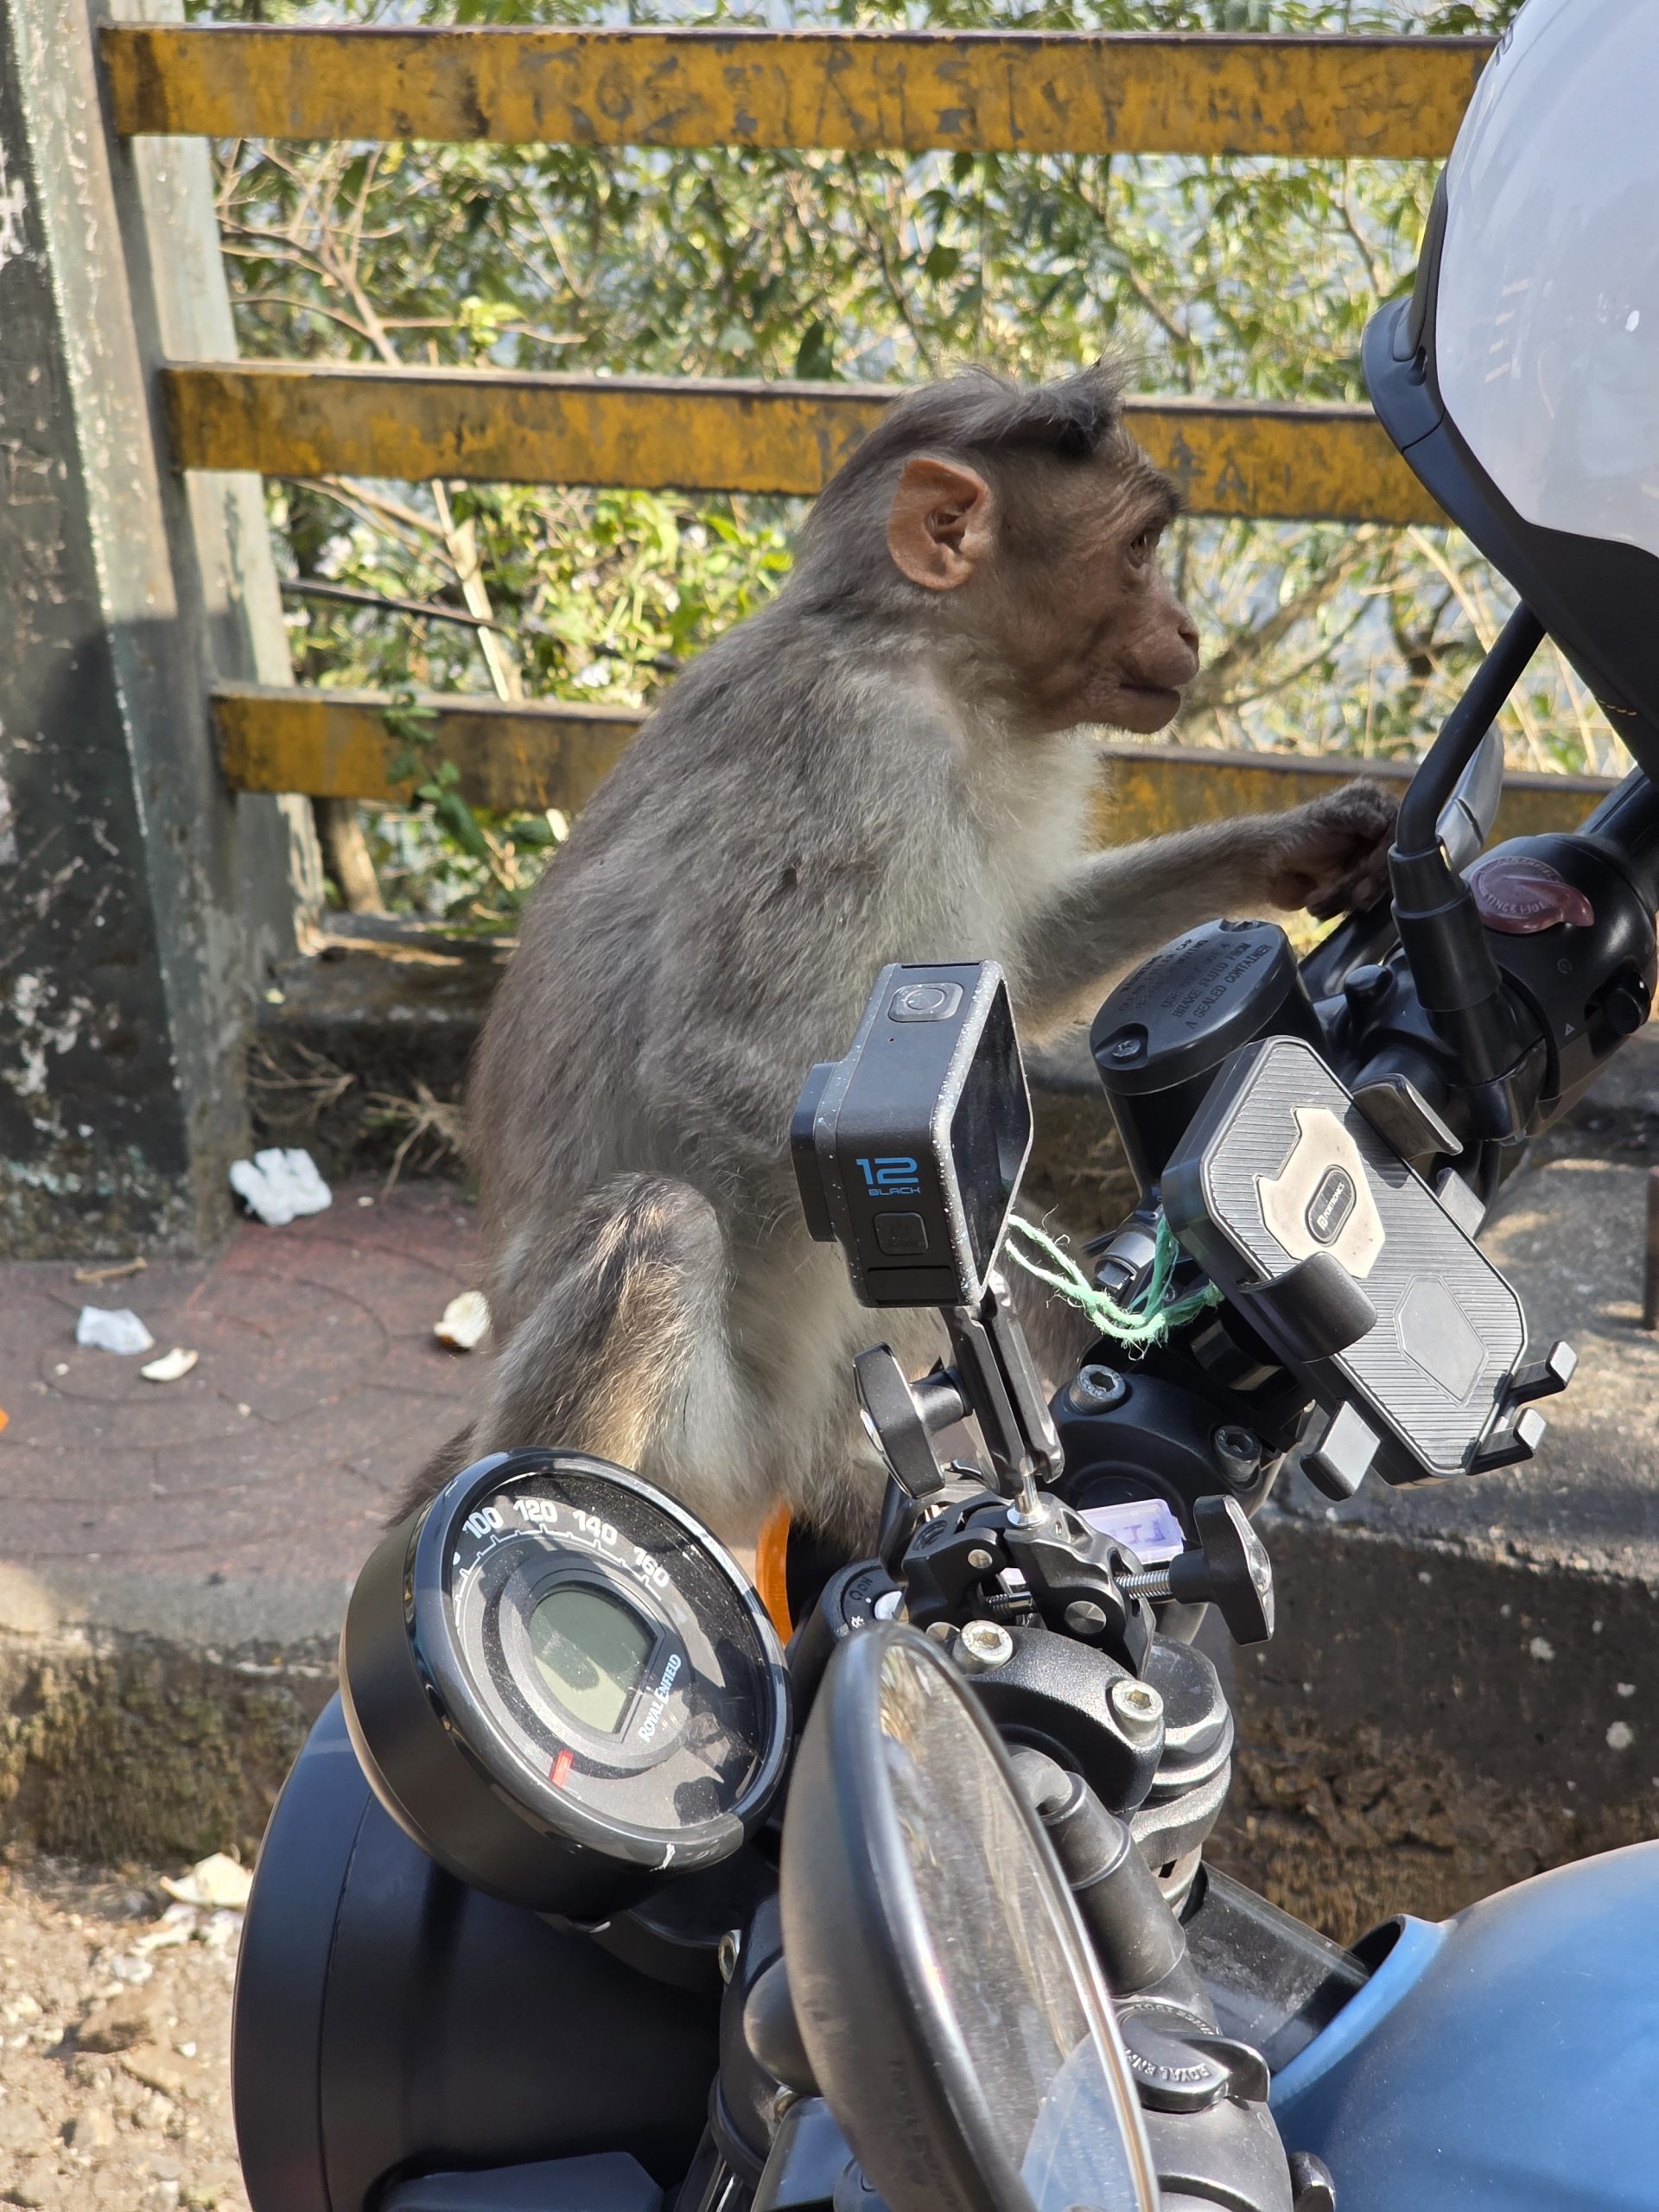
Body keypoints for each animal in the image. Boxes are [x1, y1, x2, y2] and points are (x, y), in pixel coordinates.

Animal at [398, 364, 1396, 1551]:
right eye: (1142, 547)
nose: (1187, 628)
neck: (940, 665)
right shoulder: (850, 761)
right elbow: (711, 1058)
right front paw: (1065, 1303)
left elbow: (1033, 958)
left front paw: (1297, 846)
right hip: (703, 1450)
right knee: (661, 1226)